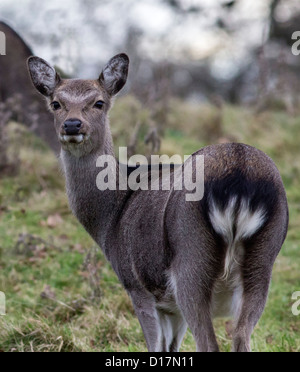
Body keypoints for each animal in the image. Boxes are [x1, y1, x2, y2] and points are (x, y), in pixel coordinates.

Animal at [27, 53, 288, 352]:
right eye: (56, 103)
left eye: (99, 102)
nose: (72, 124)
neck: (110, 219)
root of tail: (239, 171)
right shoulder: (170, 306)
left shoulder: (136, 285)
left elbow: (155, 346)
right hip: (263, 262)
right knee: (242, 336)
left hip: (191, 261)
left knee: (209, 342)